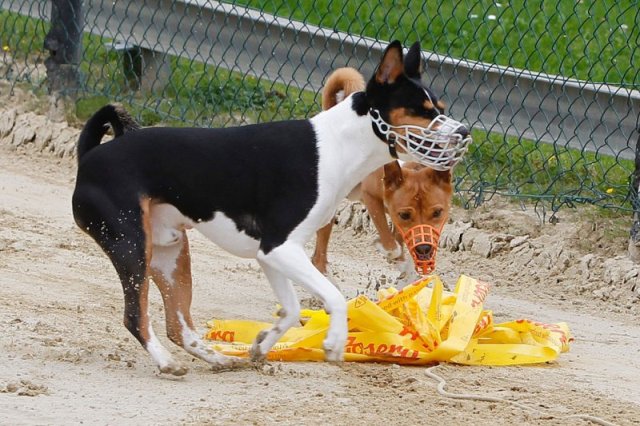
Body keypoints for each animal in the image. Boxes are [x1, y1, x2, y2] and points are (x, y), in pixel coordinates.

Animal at [311, 68, 453, 283]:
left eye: (438, 213)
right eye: (405, 214)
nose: (424, 249)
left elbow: (401, 244)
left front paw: (406, 270)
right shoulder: (372, 198)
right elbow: (391, 244)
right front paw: (390, 253)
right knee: (319, 249)